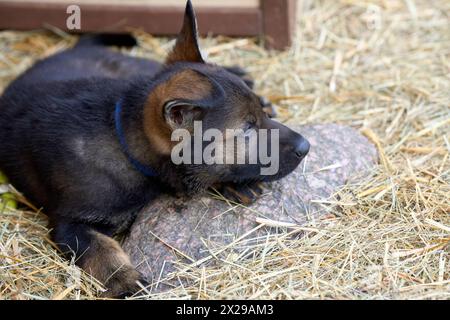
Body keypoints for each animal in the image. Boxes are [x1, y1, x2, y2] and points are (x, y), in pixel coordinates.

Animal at [0, 1, 310, 298]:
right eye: (247, 128)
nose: (306, 147)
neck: (123, 142)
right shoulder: (68, 223)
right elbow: (99, 248)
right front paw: (124, 278)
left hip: (137, 70)